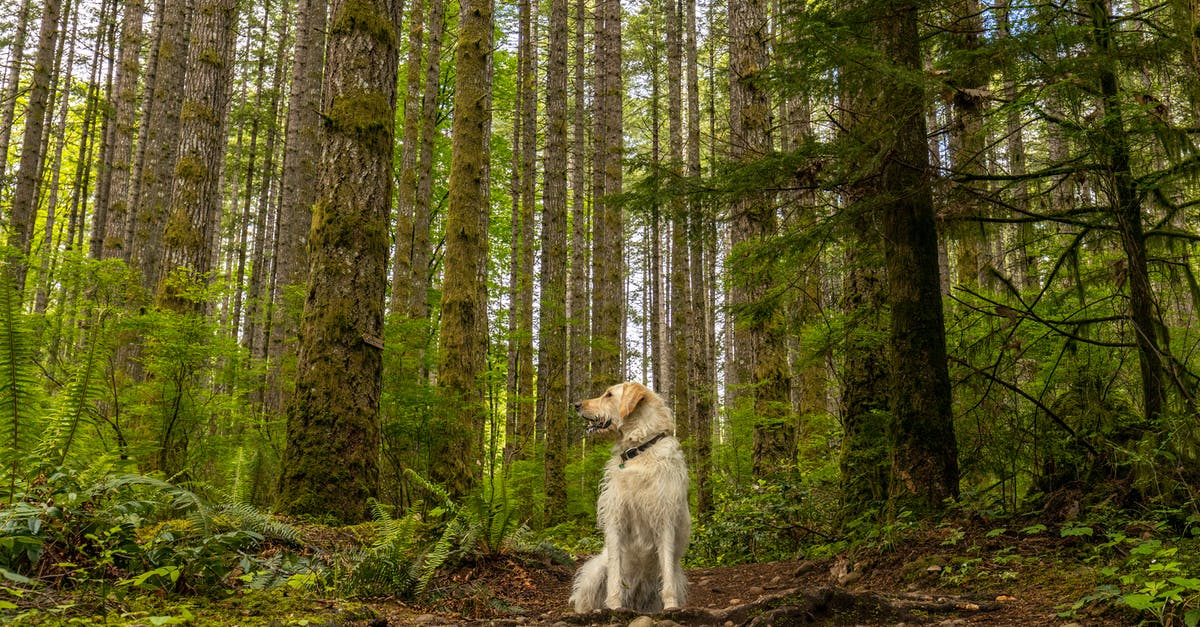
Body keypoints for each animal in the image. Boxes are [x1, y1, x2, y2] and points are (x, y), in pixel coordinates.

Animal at [566, 379, 691, 610]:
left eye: (608, 395)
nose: (576, 404)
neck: (639, 450)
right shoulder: (616, 519)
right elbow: (615, 574)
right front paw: (614, 606)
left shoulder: (664, 519)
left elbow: (667, 575)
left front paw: (671, 607)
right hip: (595, 572)